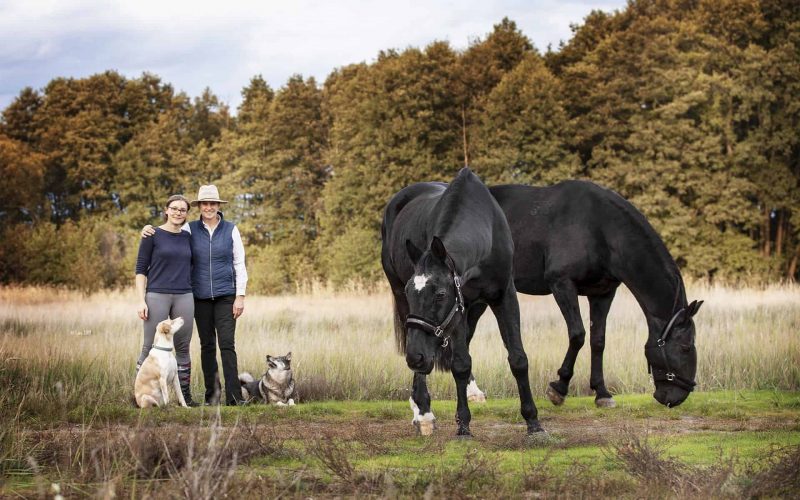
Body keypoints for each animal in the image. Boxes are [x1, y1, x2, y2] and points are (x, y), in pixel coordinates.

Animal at [382, 167, 544, 434]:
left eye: (440, 294)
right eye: (410, 291)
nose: (415, 358)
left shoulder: (503, 296)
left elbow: (518, 358)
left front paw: (533, 422)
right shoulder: (459, 305)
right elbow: (459, 363)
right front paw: (463, 426)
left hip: (475, 309)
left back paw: (470, 391)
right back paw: (422, 411)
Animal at [484, 182, 704, 408]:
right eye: (686, 347)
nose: (676, 398)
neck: (600, 228)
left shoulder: (603, 293)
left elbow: (598, 340)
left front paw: (602, 392)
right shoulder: (562, 284)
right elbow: (577, 335)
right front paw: (559, 387)